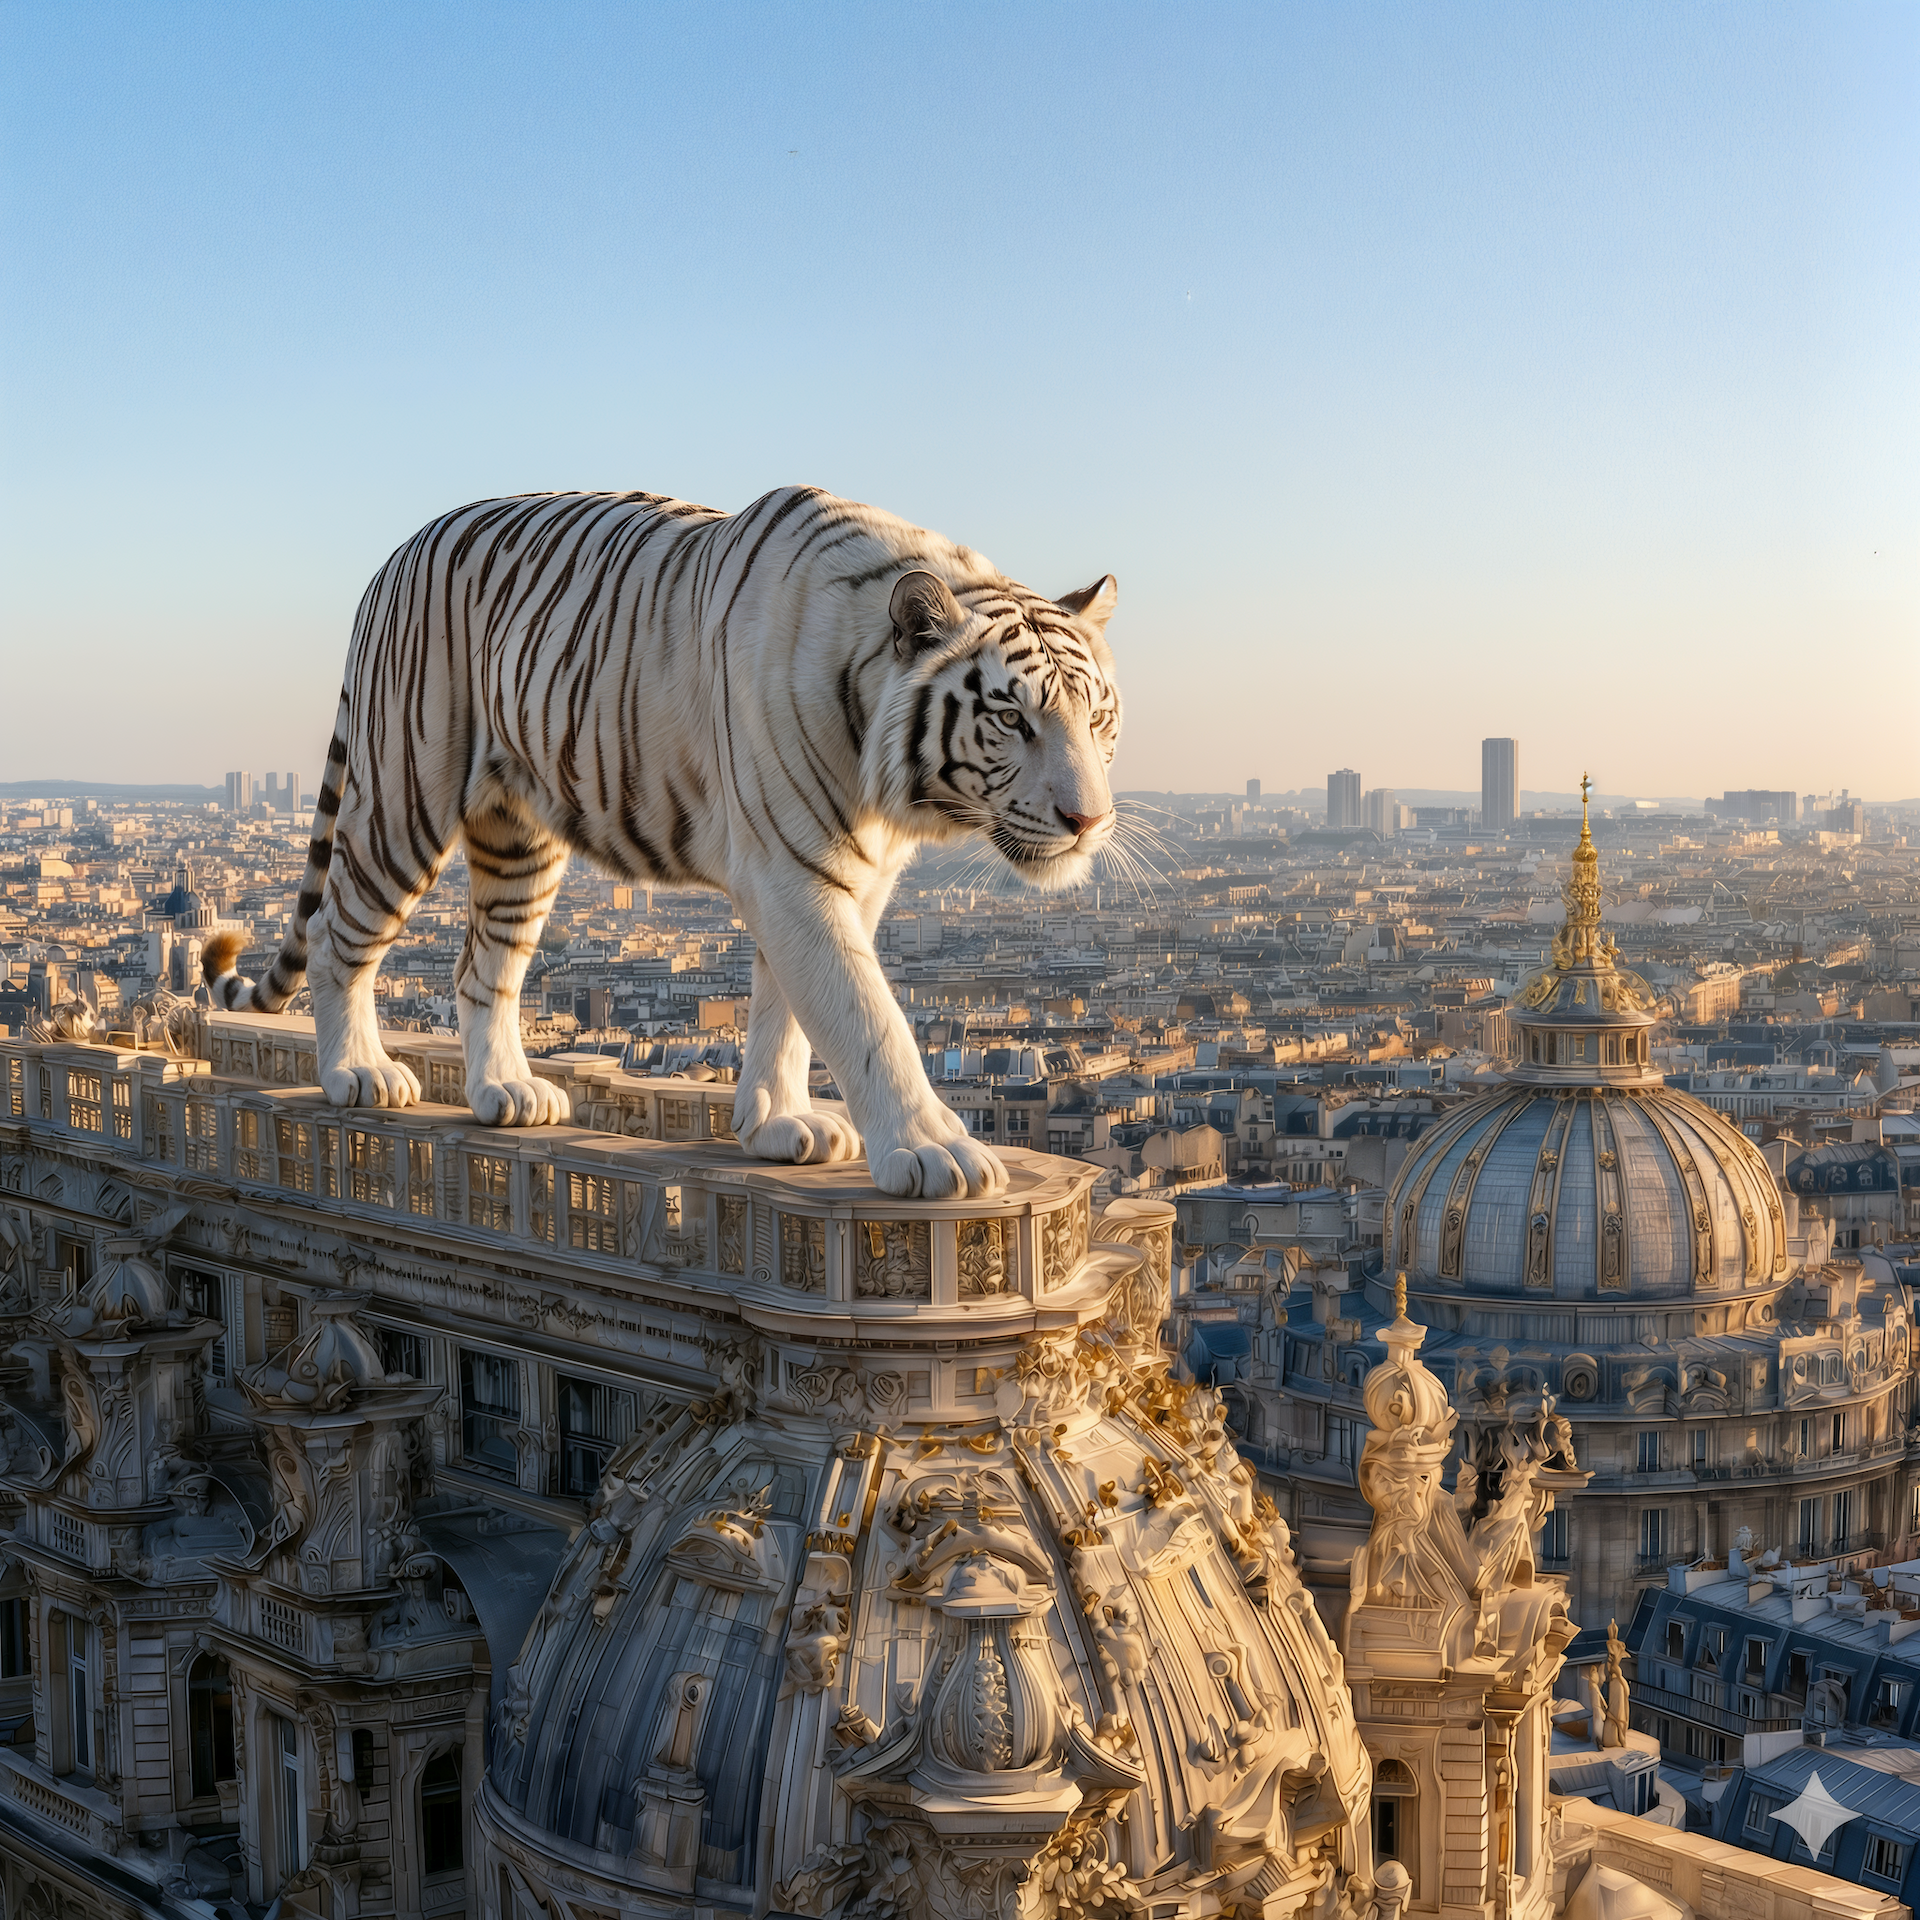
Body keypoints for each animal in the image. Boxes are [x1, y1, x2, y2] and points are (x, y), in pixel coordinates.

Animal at [203, 486, 1121, 1199]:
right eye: (1013, 719)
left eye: (1099, 718)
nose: (1089, 821)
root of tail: (398, 554)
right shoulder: (792, 873)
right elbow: (866, 1014)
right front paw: (934, 1150)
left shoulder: (842, 879)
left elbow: (788, 1008)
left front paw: (778, 1123)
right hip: (402, 800)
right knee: (337, 934)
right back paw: (357, 1074)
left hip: (520, 840)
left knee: (479, 969)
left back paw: (506, 1090)